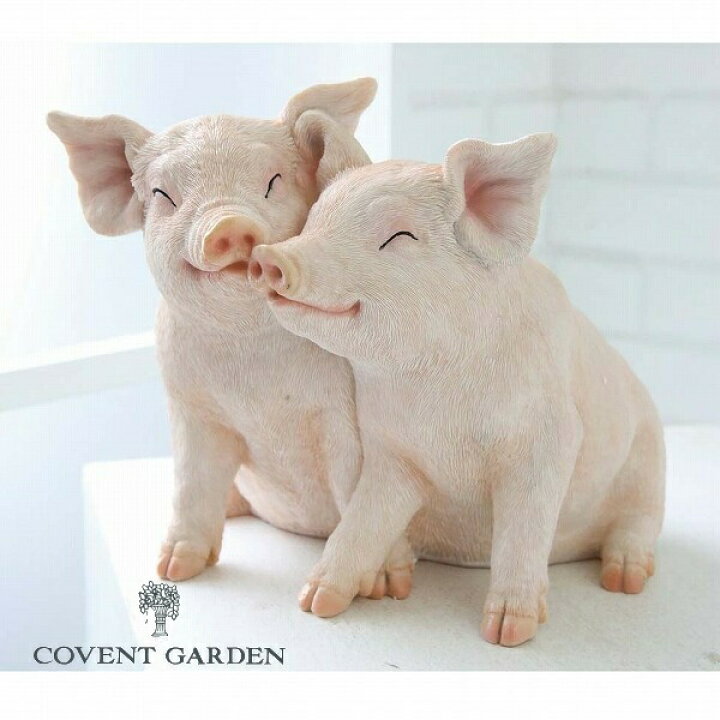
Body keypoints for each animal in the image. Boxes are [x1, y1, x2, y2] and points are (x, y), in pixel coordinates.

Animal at [47, 79, 414, 597]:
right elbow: (191, 484)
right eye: (163, 194)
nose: (230, 223)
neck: (253, 375)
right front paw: (174, 570)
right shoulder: (191, 408)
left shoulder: (345, 416)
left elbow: (354, 485)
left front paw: (384, 591)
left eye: (274, 180)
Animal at [248, 133, 666, 647]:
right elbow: (364, 520)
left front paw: (506, 635)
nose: (270, 256)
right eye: (315, 220)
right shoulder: (393, 452)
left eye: (398, 237)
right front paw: (315, 604)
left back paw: (623, 582)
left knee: (638, 523)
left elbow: (524, 529)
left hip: (649, 461)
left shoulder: (552, 438)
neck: (439, 400)